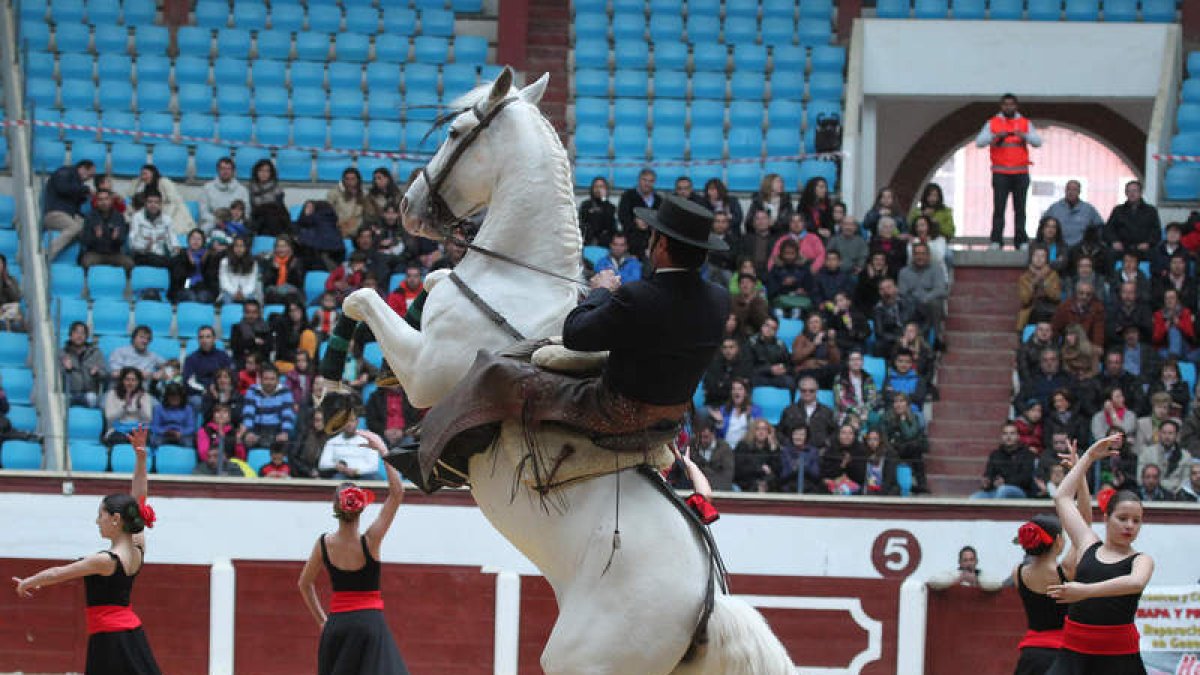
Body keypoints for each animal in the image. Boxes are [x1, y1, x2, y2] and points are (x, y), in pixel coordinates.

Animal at [342, 67, 792, 675]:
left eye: (455, 131)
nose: (408, 204)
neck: (517, 279)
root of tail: (709, 608)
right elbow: (422, 285)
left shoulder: (425, 371)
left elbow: (365, 298)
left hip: (581, 660)